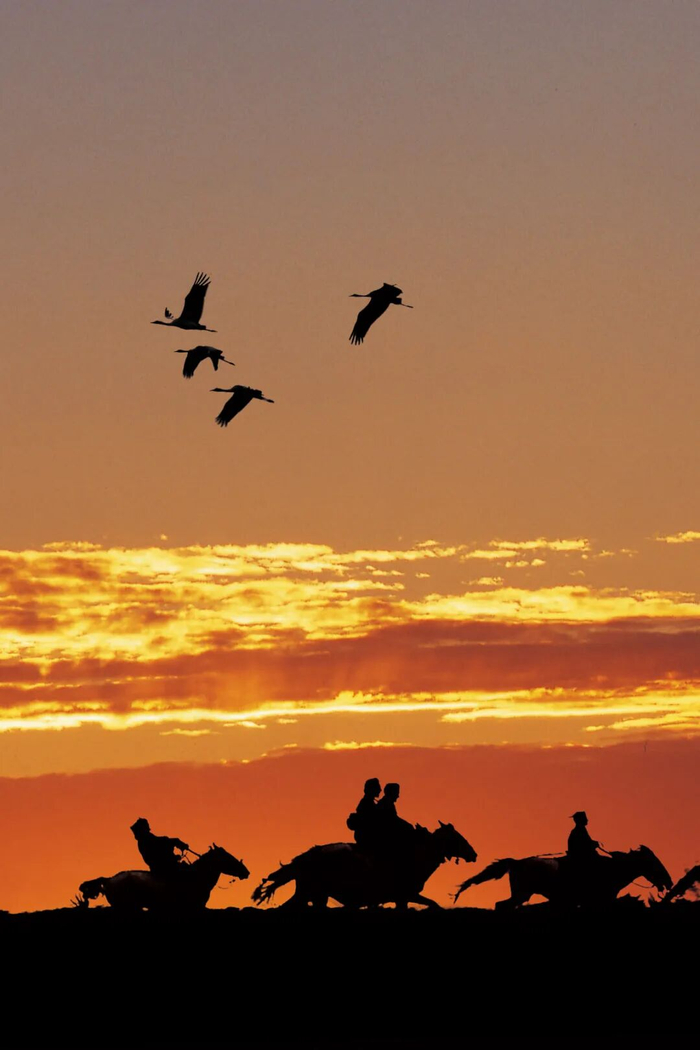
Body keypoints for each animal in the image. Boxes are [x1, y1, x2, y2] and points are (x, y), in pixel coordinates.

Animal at [252, 821, 477, 910]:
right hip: (309, 892)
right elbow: (434, 904)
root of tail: (306, 856)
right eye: (456, 837)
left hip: (315, 895)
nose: (473, 854)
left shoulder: (399, 898)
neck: (415, 854)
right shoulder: (405, 895)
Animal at [454, 845, 672, 909]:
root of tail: (516, 862)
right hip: (522, 893)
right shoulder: (600, 901)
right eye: (653, 861)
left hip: (520, 895)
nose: (669, 882)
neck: (611, 869)